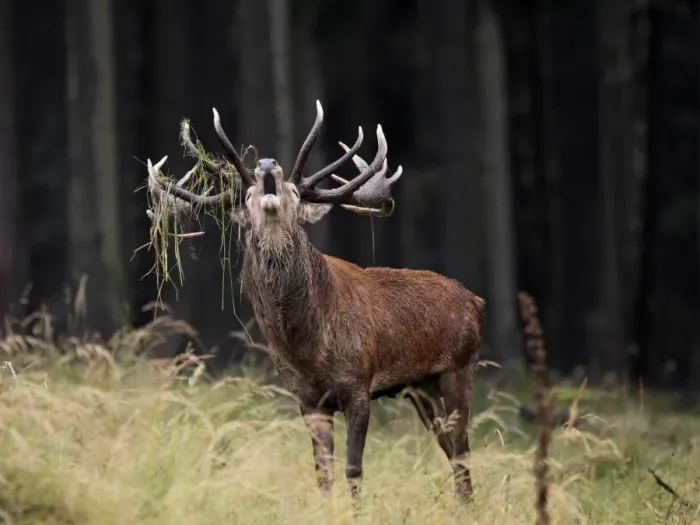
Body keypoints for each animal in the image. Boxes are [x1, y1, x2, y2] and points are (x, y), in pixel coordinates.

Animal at [145, 100, 486, 503]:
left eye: (295, 191)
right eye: (247, 196)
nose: (266, 164)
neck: (310, 346)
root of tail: (476, 301)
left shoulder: (358, 385)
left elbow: (353, 471)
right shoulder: (307, 399)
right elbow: (323, 475)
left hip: (458, 369)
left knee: (463, 453)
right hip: (422, 389)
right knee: (453, 453)